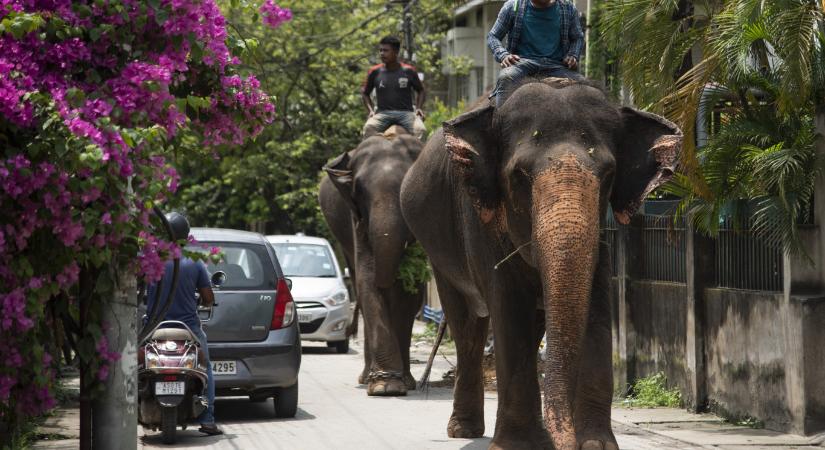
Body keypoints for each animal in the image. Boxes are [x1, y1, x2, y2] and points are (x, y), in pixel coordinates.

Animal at [318, 126, 424, 398]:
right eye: (359, 192)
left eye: (407, 186)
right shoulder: (356, 220)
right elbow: (367, 280)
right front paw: (385, 387)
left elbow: (411, 295)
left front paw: (400, 383)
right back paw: (367, 378)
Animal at [396, 78, 680, 450]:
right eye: (519, 175)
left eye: (609, 175)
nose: (566, 442)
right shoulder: (481, 218)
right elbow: (508, 306)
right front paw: (517, 445)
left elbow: (598, 307)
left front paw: (595, 445)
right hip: (439, 252)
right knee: (467, 326)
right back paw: (464, 430)